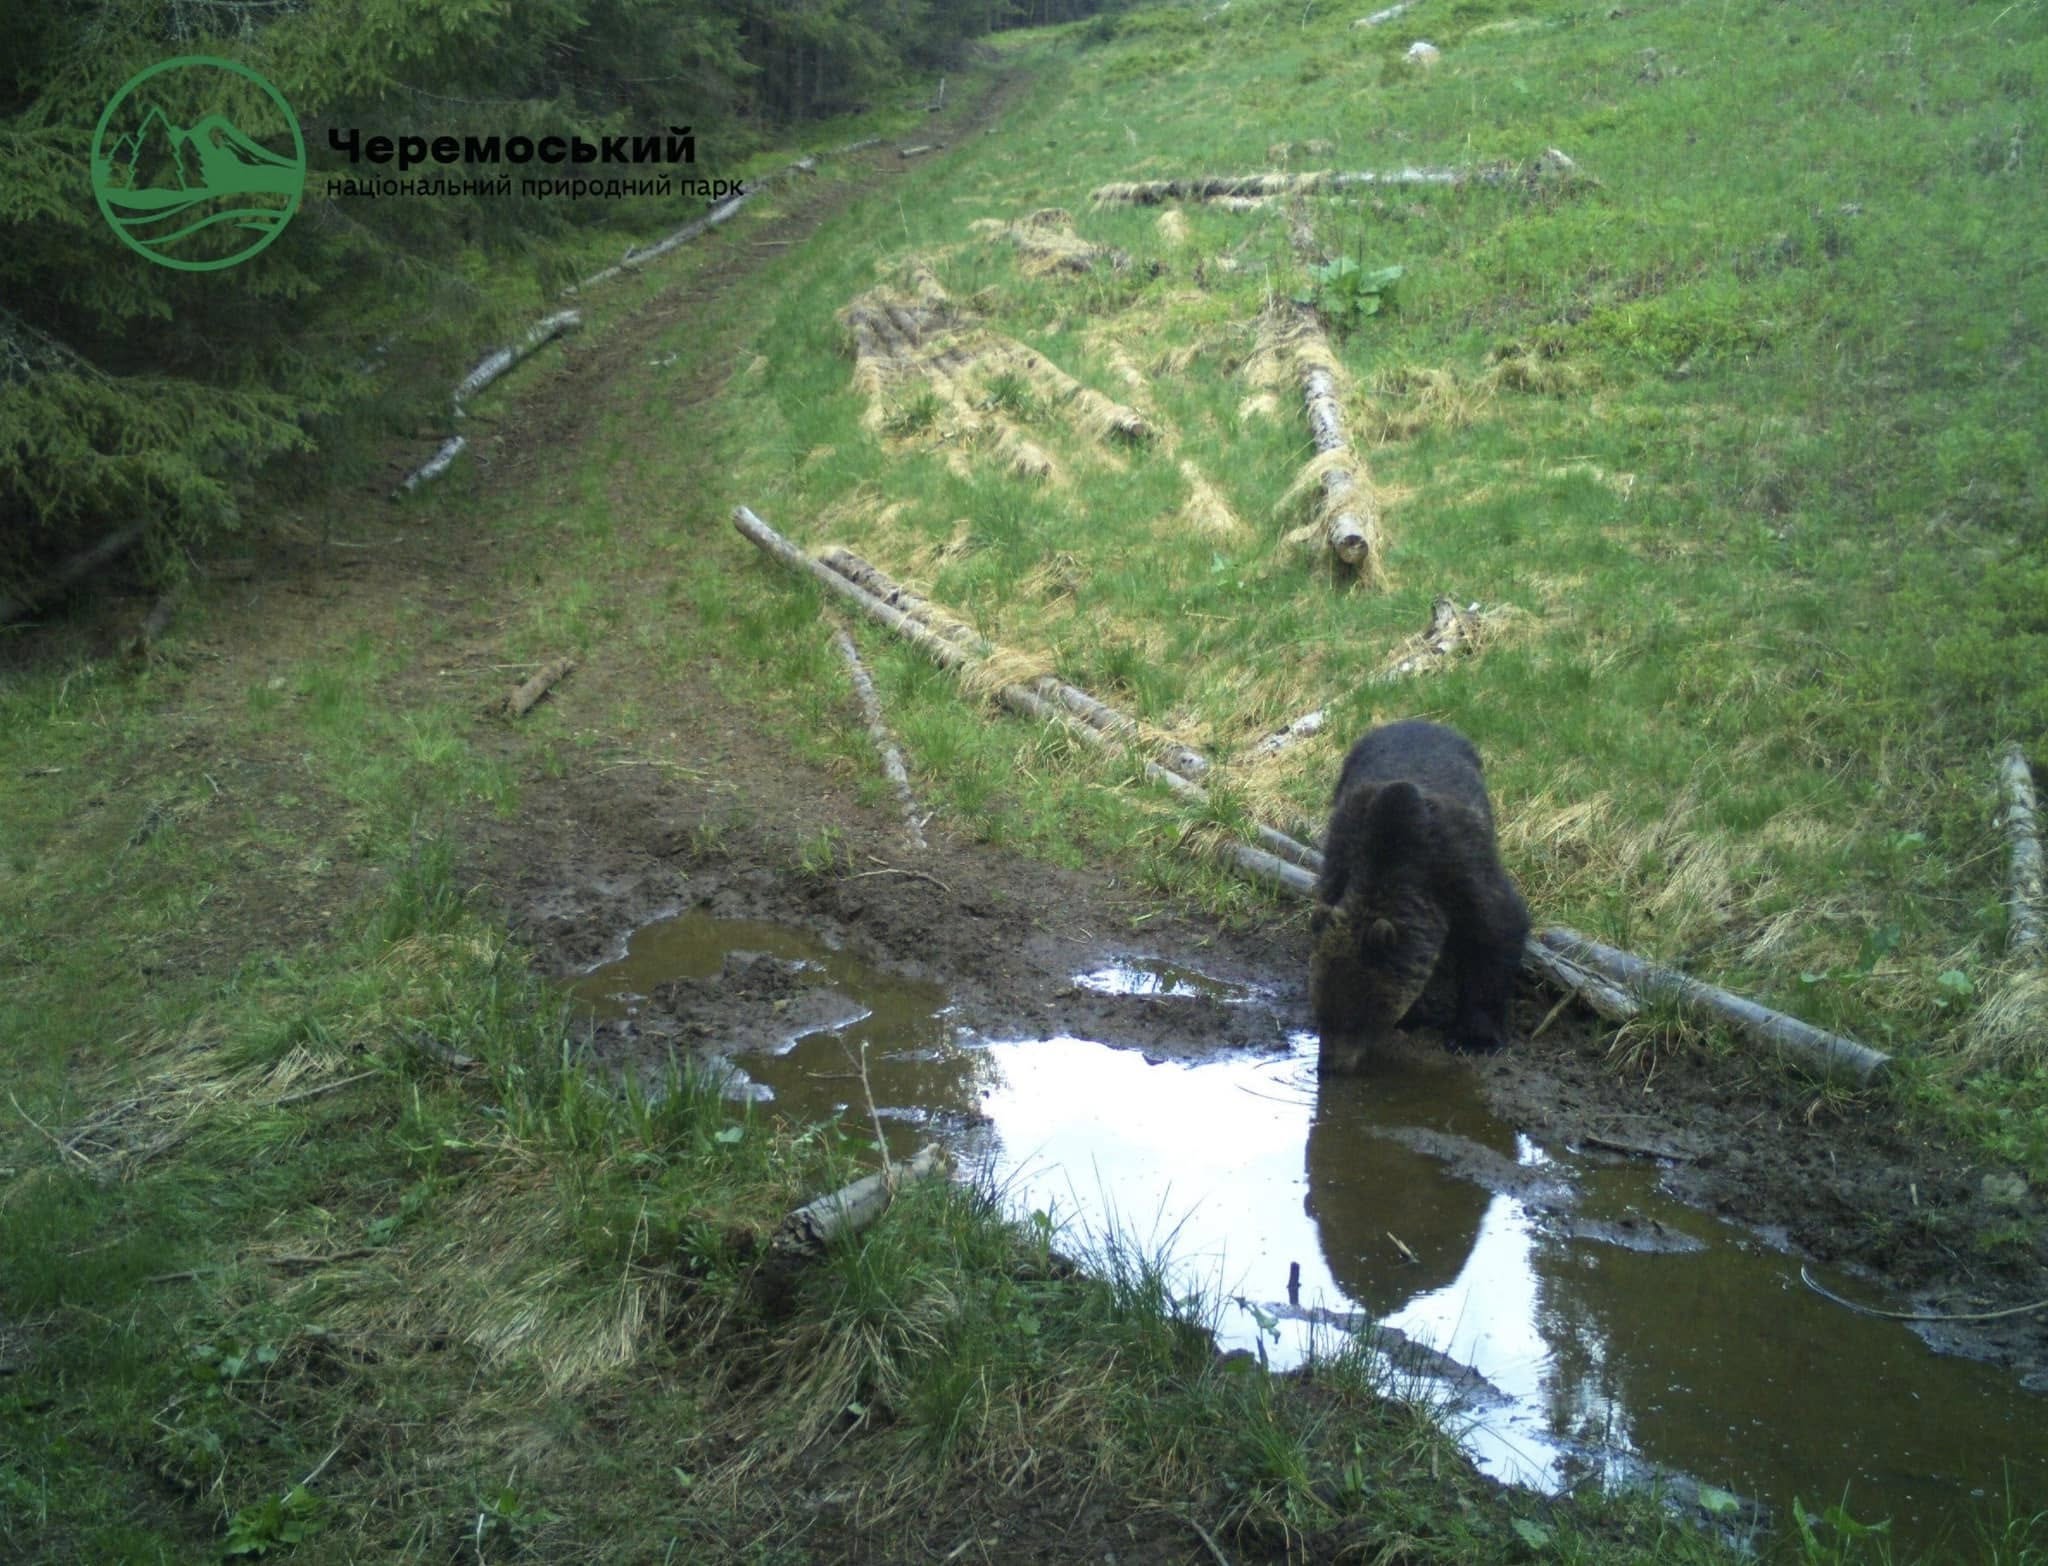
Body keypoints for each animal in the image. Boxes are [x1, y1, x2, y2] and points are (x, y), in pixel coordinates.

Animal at [1302, 716, 1531, 1064]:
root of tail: (1421, 721)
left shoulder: (1460, 865)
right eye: (1321, 1011)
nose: (1330, 1062)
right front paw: (1416, 1013)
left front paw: (1474, 1037)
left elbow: (1496, 933)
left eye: (1358, 1016)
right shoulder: (1341, 853)